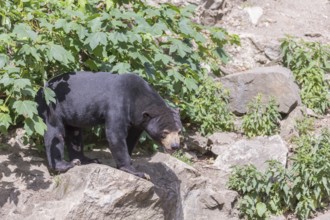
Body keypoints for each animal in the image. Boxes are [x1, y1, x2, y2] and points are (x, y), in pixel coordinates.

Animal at [36, 72, 183, 179]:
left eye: (179, 131)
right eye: (165, 132)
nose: (175, 146)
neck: (137, 98)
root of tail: (40, 89)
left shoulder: (137, 122)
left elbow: (131, 138)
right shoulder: (118, 105)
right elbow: (115, 134)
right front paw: (137, 171)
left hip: (71, 113)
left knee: (74, 134)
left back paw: (87, 160)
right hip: (52, 105)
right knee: (55, 134)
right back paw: (66, 164)